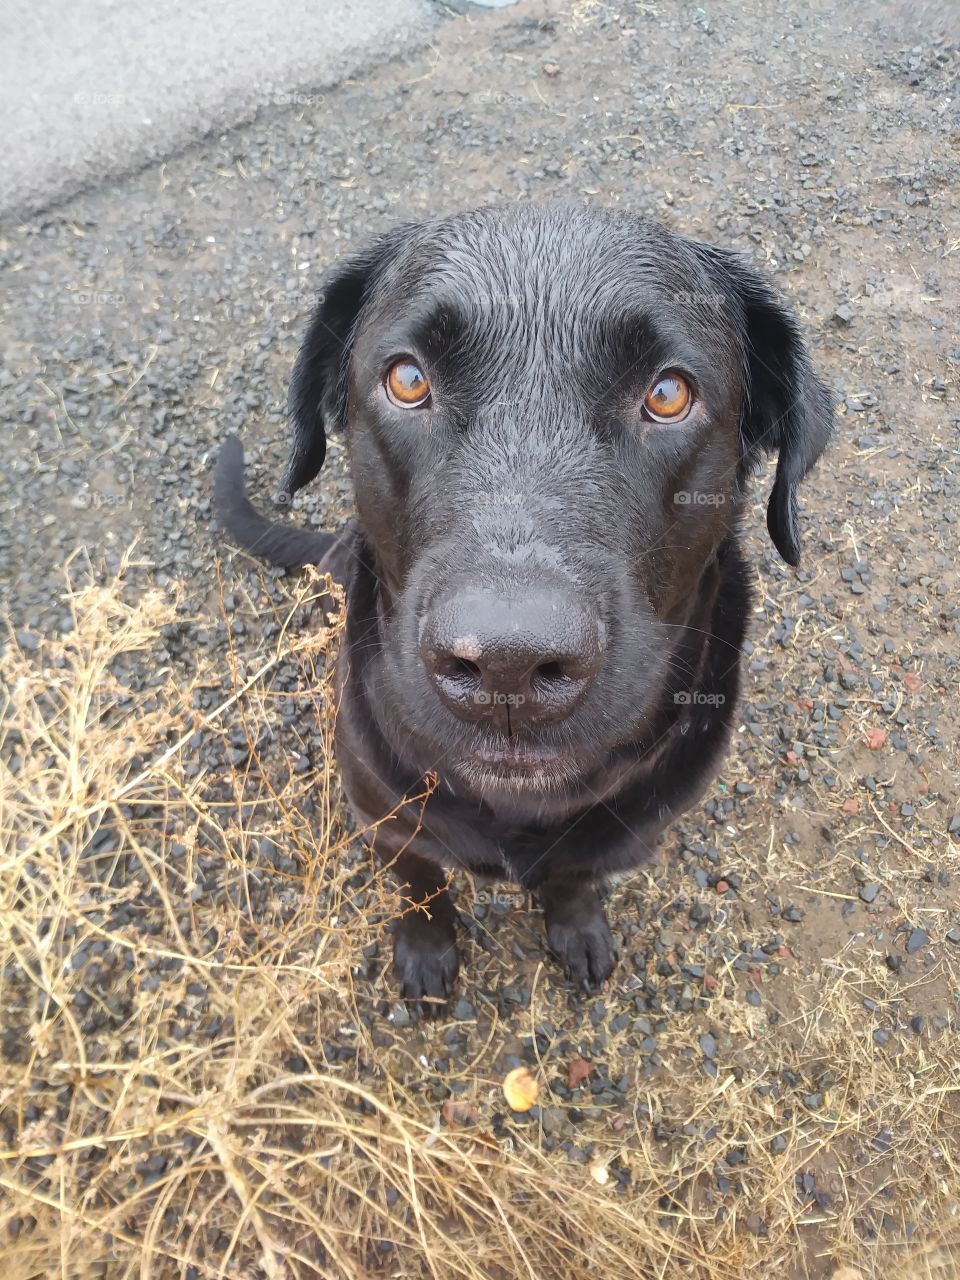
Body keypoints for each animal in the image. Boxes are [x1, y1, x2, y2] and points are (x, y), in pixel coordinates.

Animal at [212, 204, 834, 1013]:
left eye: (668, 394)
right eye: (407, 380)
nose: (506, 664)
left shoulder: (622, 837)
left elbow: (573, 878)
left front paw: (576, 928)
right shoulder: (386, 820)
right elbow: (420, 887)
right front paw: (426, 952)